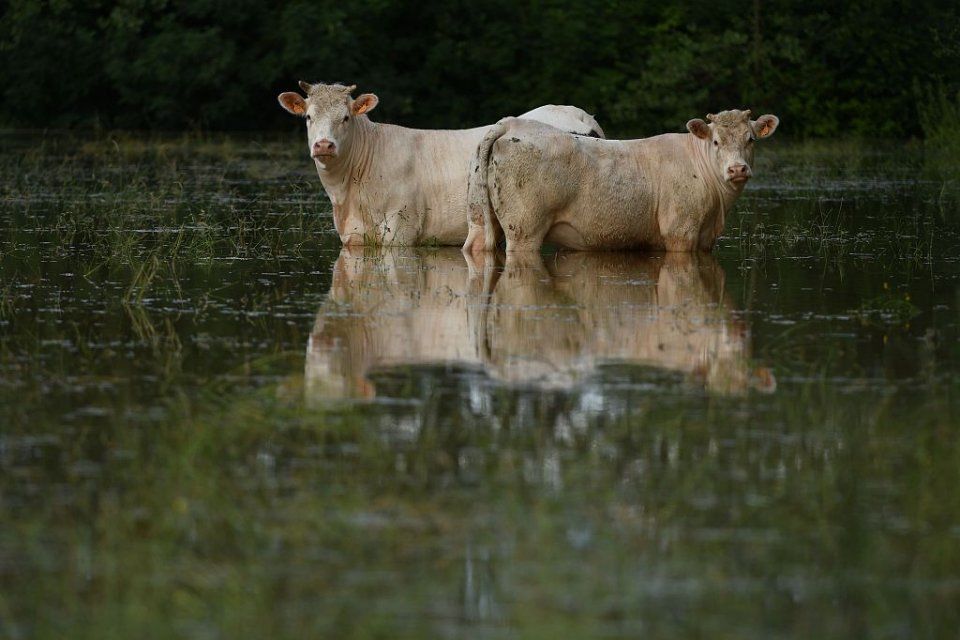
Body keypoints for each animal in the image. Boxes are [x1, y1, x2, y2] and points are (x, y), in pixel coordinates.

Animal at [278, 81, 604, 246]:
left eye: (345, 117)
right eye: (308, 117)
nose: (324, 145)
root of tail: (577, 113)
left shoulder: (402, 227)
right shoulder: (354, 237)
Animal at [464, 108, 780, 255]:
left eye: (751, 139)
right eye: (716, 141)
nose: (737, 169)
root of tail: (513, 123)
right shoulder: (681, 232)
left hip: (480, 218)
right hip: (525, 229)